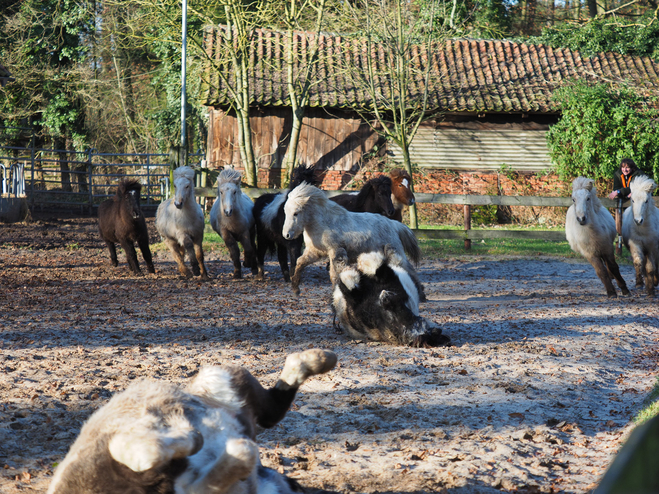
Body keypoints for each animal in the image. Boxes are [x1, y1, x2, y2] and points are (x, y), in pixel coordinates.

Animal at [282, 181, 426, 298]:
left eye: (296, 213)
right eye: (285, 212)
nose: (286, 235)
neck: (324, 223)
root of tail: (393, 224)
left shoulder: (336, 253)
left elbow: (334, 276)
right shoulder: (314, 252)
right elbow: (299, 263)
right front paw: (295, 289)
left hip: (395, 254)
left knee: (408, 269)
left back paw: (420, 294)